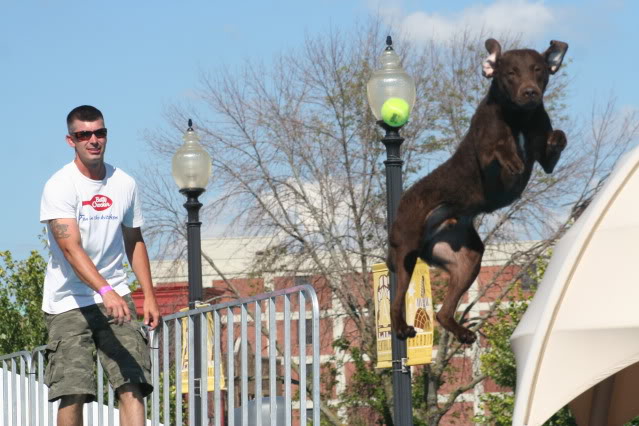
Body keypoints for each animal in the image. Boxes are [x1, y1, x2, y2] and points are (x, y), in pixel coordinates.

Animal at [384, 37, 568, 342]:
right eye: (510, 73)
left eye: (539, 70)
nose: (530, 92)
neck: (518, 117)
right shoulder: (485, 154)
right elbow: (497, 145)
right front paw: (512, 156)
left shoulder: (545, 156)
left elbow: (557, 138)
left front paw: (553, 138)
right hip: (406, 250)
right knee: (396, 300)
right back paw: (401, 327)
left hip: (467, 259)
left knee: (443, 313)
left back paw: (462, 332)